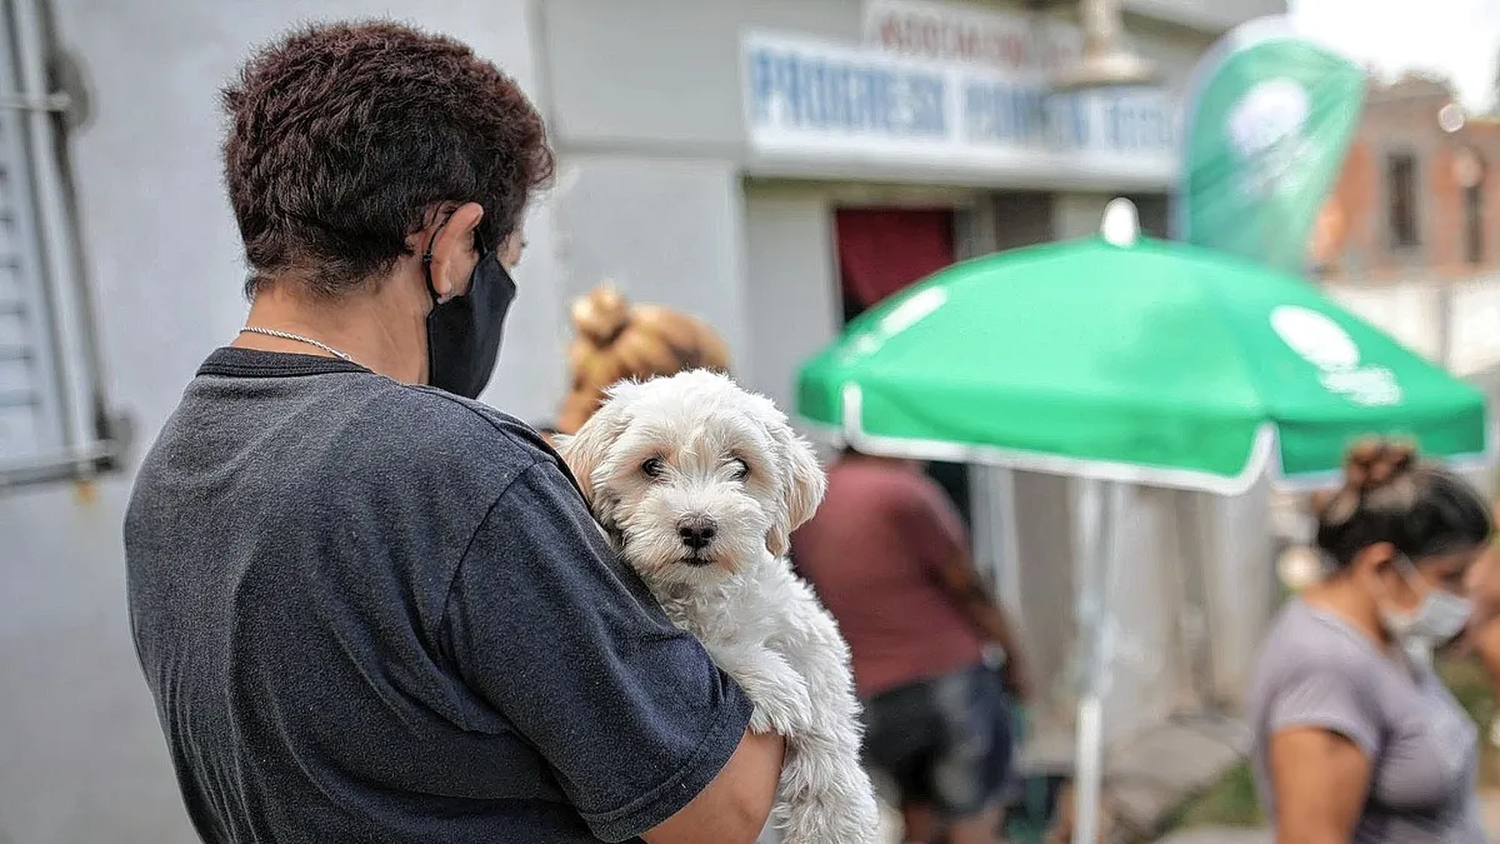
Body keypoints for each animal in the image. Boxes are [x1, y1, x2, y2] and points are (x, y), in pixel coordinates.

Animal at [561, 371, 882, 844]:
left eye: (741, 467)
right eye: (651, 466)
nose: (697, 528)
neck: (703, 592)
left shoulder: (803, 621)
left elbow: (826, 705)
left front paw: (835, 820)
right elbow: (708, 645)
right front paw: (772, 682)